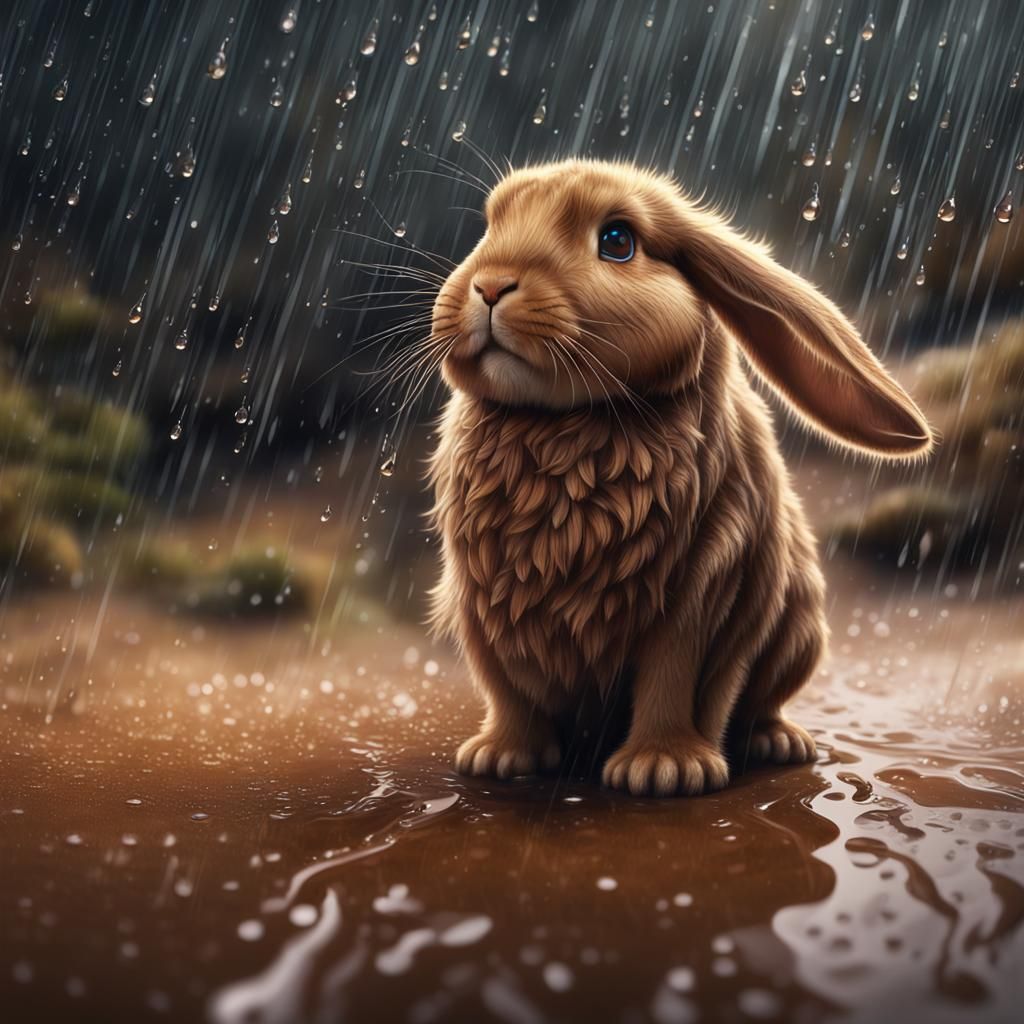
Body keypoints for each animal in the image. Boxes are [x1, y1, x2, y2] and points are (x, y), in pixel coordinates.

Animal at [426, 159, 932, 796]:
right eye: (490, 226)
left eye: (618, 241)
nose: (491, 286)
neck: (567, 426)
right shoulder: (481, 604)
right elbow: (507, 689)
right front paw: (500, 758)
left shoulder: (705, 590)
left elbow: (672, 677)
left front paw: (665, 769)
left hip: (800, 634)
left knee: (763, 702)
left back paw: (778, 743)